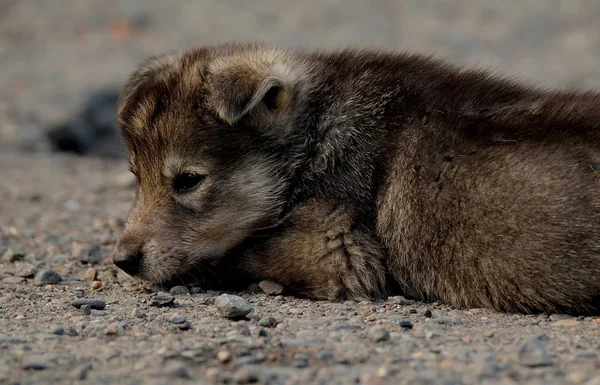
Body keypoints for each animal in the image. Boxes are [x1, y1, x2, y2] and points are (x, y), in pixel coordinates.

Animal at [112, 42, 600, 314]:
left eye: (188, 180)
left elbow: (242, 253)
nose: (122, 261)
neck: (314, 133)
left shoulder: (337, 251)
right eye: (136, 176)